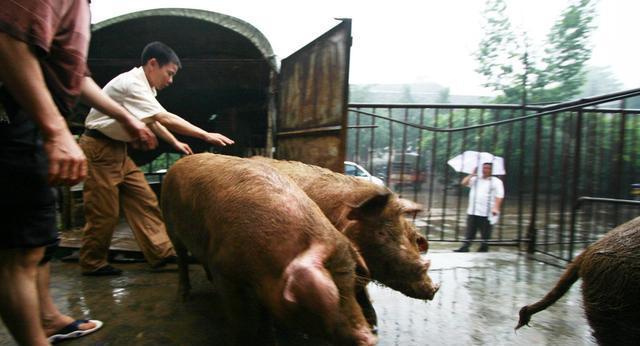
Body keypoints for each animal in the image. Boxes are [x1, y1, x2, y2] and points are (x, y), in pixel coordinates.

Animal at [160, 154, 378, 346]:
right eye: (334, 292)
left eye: (351, 284)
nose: (369, 337)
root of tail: (179, 162)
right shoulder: (224, 272)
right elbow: (239, 321)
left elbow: (266, 318)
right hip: (170, 223)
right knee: (181, 258)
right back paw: (183, 296)